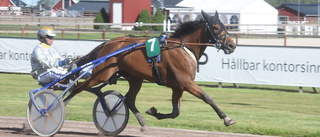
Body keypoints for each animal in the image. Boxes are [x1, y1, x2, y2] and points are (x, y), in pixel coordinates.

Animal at [65, 10, 238, 133]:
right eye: (215, 27)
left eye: (225, 26)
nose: (231, 45)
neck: (183, 48)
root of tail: (108, 43)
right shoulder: (186, 82)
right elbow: (207, 97)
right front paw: (227, 118)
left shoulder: (178, 86)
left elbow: (175, 112)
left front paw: (154, 112)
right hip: (101, 74)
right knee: (78, 87)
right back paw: (62, 104)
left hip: (135, 78)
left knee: (129, 100)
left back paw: (140, 122)